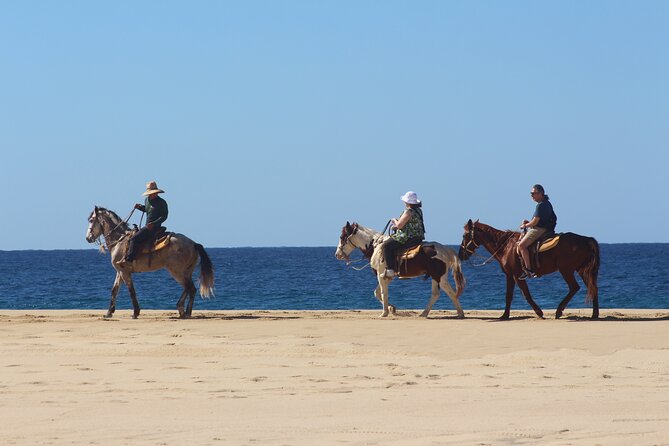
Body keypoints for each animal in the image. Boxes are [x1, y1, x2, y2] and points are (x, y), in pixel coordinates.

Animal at [83, 207, 214, 318]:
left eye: (91, 220)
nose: (88, 238)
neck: (119, 240)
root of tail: (194, 244)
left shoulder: (125, 272)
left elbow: (131, 291)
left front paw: (135, 312)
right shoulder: (120, 271)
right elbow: (114, 290)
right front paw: (109, 312)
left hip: (176, 271)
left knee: (189, 287)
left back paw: (182, 310)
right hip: (186, 272)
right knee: (191, 289)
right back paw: (186, 311)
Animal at [334, 221, 464, 318]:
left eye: (342, 237)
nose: (337, 254)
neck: (376, 246)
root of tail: (445, 249)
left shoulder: (380, 274)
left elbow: (383, 292)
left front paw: (384, 313)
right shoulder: (387, 276)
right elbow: (377, 293)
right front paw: (392, 308)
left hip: (439, 276)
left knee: (451, 292)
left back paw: (460, 313)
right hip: (434, 277)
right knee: (436, 294)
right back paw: (424, 313)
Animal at [456, 220, 596, 320]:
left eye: (465, 235)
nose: (461, 254)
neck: (506, 247)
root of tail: (585, 239)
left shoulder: (517, 275)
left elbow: (526, 294)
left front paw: (539, 312)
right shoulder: (509, 275)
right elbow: (508, 295)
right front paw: (505, 315)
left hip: (566, 270)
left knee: (574, 287)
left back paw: (559, 311)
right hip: (581, 270)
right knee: (593, 287)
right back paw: (594, 314)